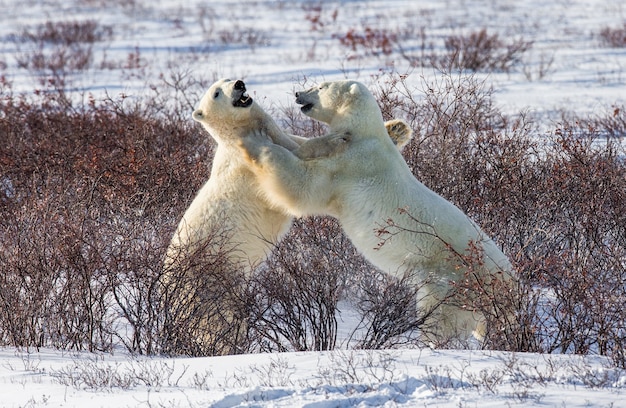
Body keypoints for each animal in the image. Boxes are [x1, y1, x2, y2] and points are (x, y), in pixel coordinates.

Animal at [163, 79, 412, 354]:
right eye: (216, 93)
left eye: (229, 80)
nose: (239, 84)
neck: (235, 137)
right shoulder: (249, 170)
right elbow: (297, 162)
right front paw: (336, 138)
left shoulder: (280, 138)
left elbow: (298, 144)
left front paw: (396, 128)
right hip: (209, 283)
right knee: (216, 322)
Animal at [239, 79, 512, 344]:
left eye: (321, 86)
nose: (297, 93)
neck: (363, 132)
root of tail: (510, 285)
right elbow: (307, 148)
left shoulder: (352, 164)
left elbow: (305, 184)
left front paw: (253, 140)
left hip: (453, 277)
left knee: (438, 317)